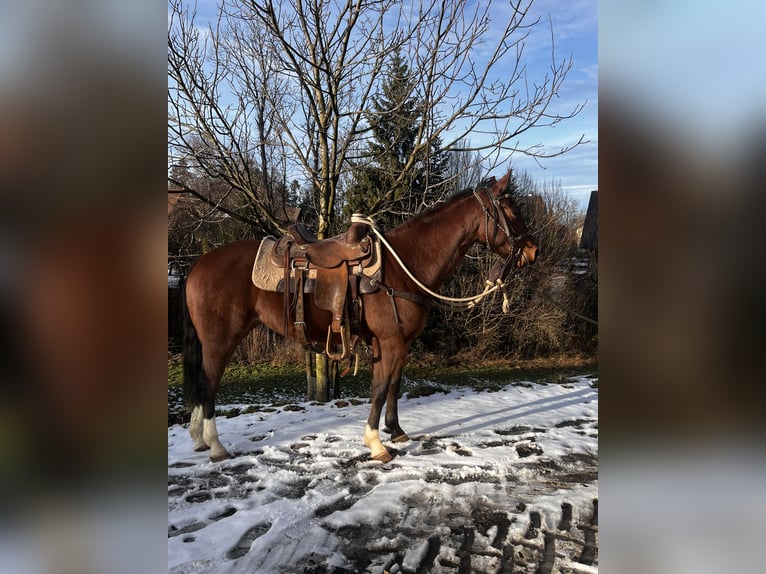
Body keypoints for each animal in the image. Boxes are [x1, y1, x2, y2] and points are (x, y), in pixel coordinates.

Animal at [181, 172, 538, 462]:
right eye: (512, 211)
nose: (533, 251)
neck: (403, 267)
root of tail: (197, 266)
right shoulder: (389, 342)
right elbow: (379, 389)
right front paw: (376, 444)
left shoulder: (400, 344)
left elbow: (393, 385)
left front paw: (396, 431)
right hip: (220, 341)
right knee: (208, 384)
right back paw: (216, 447)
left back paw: (199, 440)